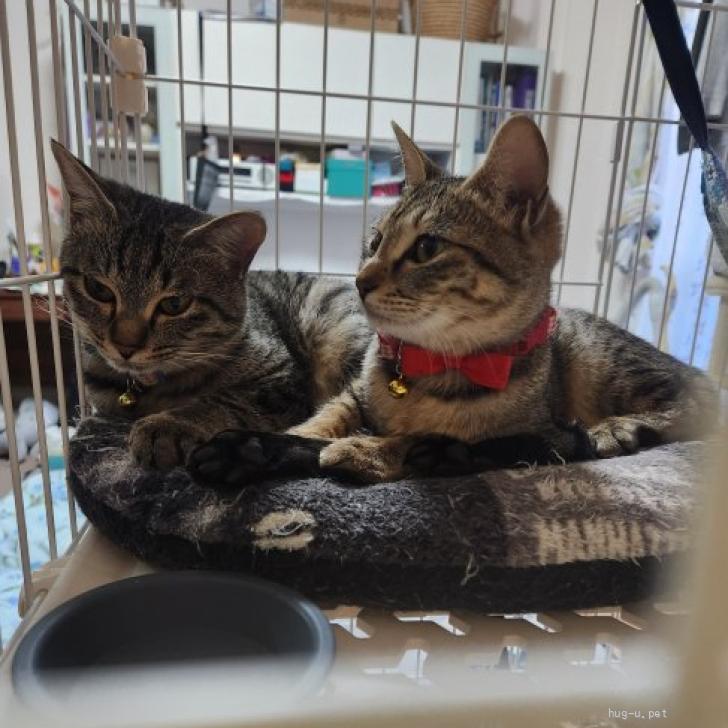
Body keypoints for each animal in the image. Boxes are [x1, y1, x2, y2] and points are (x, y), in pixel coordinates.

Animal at [51, 140, 369, 471]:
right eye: (98, 289)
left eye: (174, 304)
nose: (125, 346)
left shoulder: (281, 381)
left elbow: (220, 402)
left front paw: (167, 425)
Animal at [189, 115, 716, 485]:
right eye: (374, 242)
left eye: (426, 248)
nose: (359, 280)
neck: (425, 369)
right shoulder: (350, 396)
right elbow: (316, 424)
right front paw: (260, 446)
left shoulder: (538, 423)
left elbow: (413, 441)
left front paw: (366, 450)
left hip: (604, 361)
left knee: (699, 403)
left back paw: (618, 427)